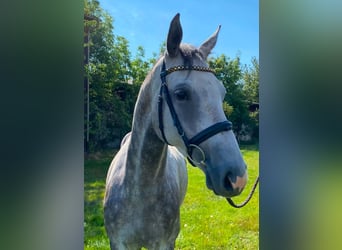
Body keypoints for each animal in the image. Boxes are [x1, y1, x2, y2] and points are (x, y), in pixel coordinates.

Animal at [103, 13, 247, 250]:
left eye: (222, 93)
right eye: (181, 94)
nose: (237, 177)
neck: (139, 191)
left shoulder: (165, 243)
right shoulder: (119, 243)